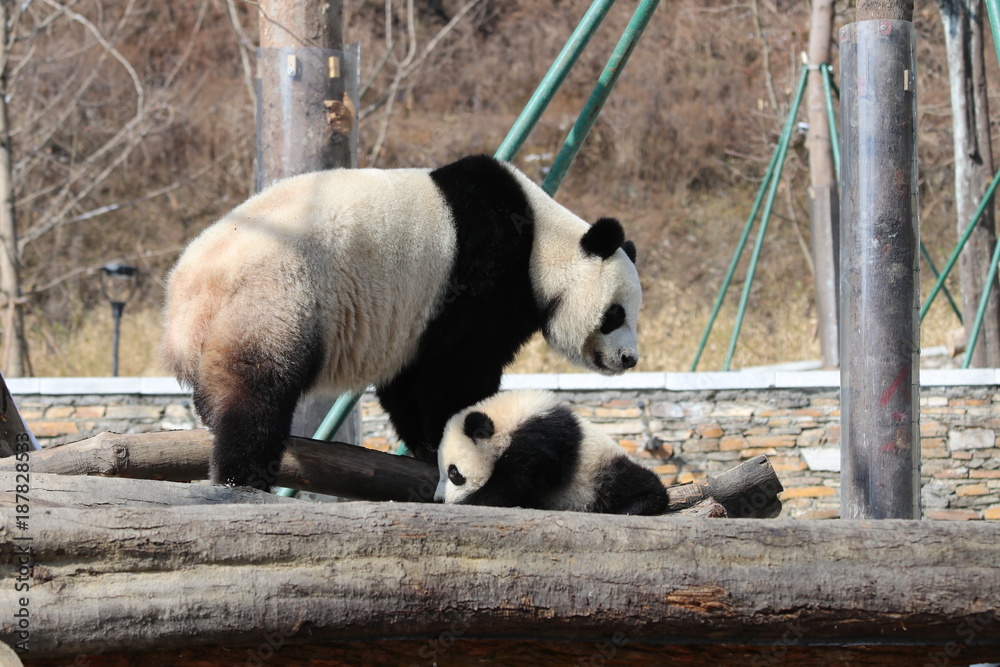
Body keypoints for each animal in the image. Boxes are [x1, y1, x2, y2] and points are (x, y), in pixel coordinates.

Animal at [161, 154, 642, 489]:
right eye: (615, 314)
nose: (629, 359)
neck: (542, 243)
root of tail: (191, 286)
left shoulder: (412, 322)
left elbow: (409, 379)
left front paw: (428, 446)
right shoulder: (484, 277)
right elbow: (456, 370)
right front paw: (460, 434)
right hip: (278, 293)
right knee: (258, 387)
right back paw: (242, 474)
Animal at [434, 389, 668, 515]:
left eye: (453, 473)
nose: (438, 500)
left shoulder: (542, 437)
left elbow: (512, 484)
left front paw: (468, 501)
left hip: (598, 471)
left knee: (629, 482)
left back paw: (638, 504)